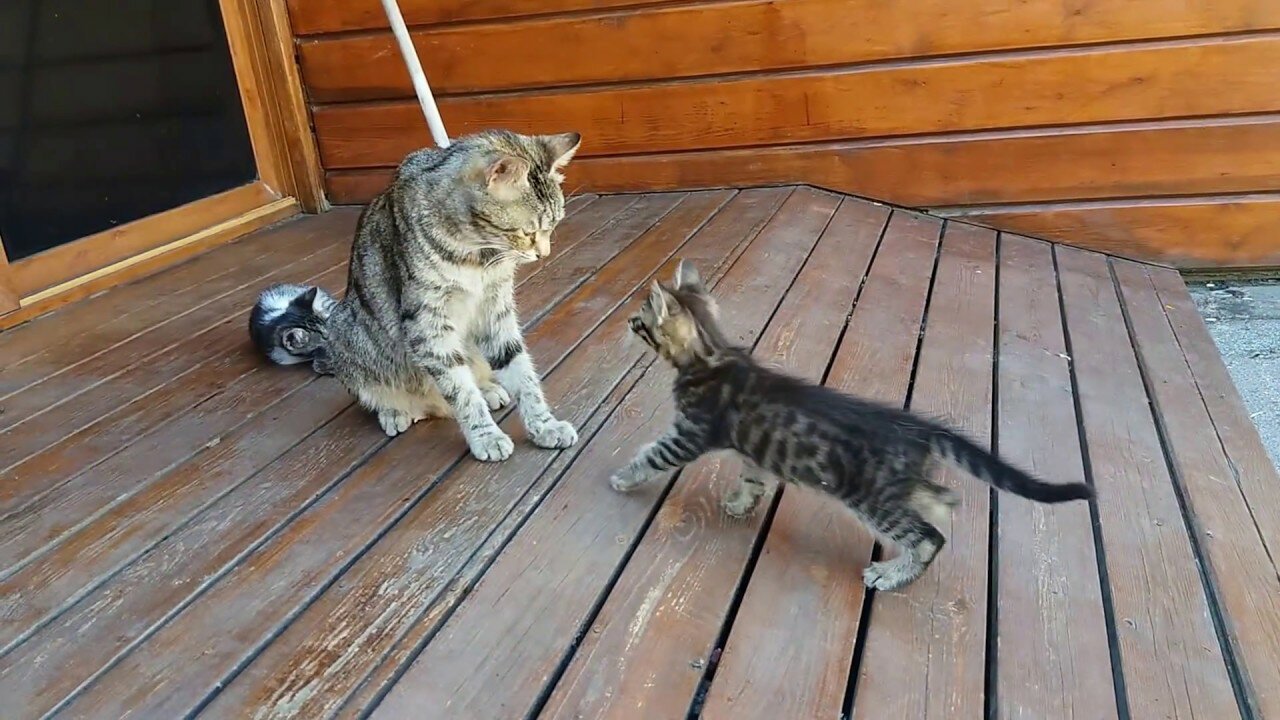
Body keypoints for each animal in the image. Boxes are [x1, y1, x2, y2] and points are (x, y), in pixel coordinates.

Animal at [245, 130, 586, 458]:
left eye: (553, 225)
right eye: (527, 232)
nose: (544, 253)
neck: (479, 256)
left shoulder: (495, 309)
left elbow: (521, 372)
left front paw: (544, 425)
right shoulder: (427, 323)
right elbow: (461, 390)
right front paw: (485, 436)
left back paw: (488, 389)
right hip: (345, 330)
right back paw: (395, 411)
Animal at [614, 257, 1095, 589]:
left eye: (640, 318)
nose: (627, 320)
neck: (711, 354)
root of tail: (916, 428)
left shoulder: (688, 434)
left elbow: (651, 455)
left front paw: (623, 476)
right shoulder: (754, 450)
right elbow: (752, 476)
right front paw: (741, 502)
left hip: (873, 499)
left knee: (929, 537)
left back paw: (891, 575)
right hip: (900, 486)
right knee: (941, 497)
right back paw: (940, 504)